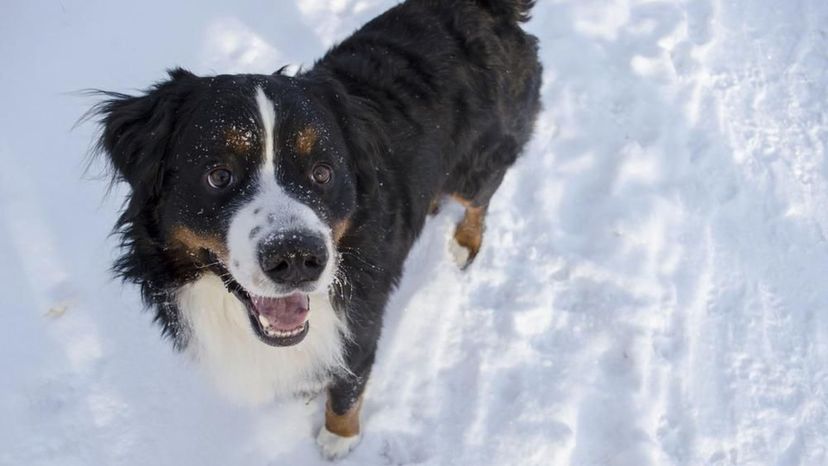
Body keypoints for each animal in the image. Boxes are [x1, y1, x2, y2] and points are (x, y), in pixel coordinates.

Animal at [92, 0, 544, 458]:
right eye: (219, 176)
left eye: (323, 173)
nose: (296, 258)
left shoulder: (361, 324)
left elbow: (348, 385)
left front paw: (338, 438)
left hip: (482, 160)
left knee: (481, 197)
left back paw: (464, 243)